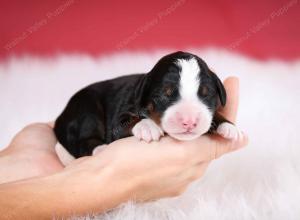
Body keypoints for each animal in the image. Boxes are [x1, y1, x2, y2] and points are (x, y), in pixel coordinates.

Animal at [54, 51, 241, 164]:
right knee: (84, 140)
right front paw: (147, 126)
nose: (189, 121)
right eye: (165, 95)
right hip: (86, 108)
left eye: (205, 95)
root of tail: (59, 119)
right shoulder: (118, 120)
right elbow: (129, 120)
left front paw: (229, 126)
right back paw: (101, 149)